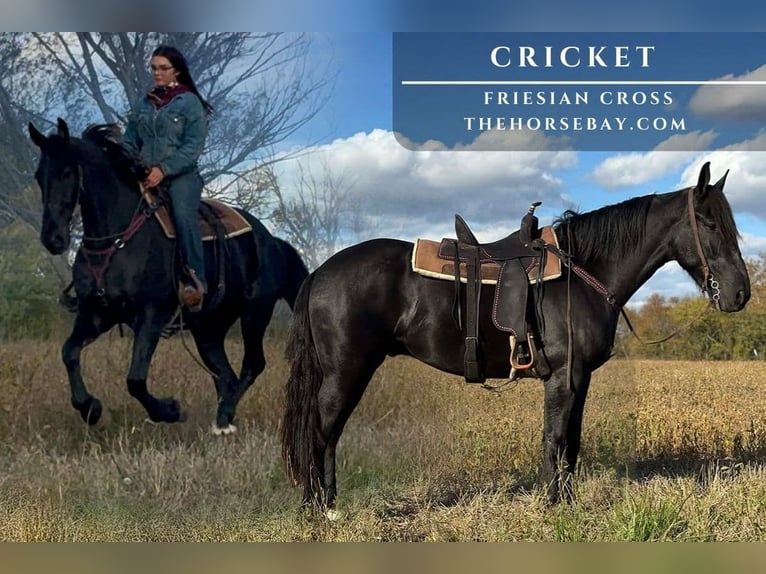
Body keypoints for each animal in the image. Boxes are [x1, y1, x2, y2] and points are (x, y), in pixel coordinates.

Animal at [28, 118, 308, 433]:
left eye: (66, 172)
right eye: (39, 176)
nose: (53, 239)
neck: (116, 241)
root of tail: (271, 241)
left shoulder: (151, 316)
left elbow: (135, 379)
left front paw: (171, 411)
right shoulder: (96, 315)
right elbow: (69, 352)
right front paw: (90, 408)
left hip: (254, 314)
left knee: (252, 365)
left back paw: (224, 416)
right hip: (208, 329)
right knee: (224, 373)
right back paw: (223, 420)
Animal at [282, 161, 751, 511]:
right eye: (709, 222)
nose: (741, 293)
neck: (584, 273)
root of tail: (319, 272)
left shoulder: (579, 378)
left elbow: (571, 441)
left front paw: (565, 500)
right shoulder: (562, 377)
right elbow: (554, 439)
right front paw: (551, 503)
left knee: (328, 434)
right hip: (346, 372)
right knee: (321, 432)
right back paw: (319, 508)